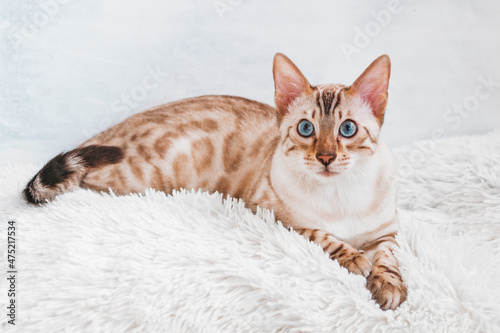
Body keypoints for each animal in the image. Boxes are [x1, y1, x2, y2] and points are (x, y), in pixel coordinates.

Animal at [22, 52, 406, 308]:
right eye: (306, 129)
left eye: (347, 129)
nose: (326, 158)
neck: (340, 197)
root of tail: (109, 131)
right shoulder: (271, 214)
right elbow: (323, 236)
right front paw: (355, 259)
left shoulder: (385, 234)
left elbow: (388, 261)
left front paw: (388, 288)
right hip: (137, 177)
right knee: (83, 179)